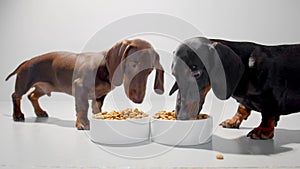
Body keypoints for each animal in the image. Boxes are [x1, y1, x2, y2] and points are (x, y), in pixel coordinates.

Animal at [5, 39, 164, 130]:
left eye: (150, 71)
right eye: (133, 64)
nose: (138, 100)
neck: (104, 68)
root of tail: (26, 62)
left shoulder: (100, 95)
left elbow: (96, 107)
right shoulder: (79, 87)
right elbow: (83, 107)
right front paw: (83, 124)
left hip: (44, 87)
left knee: (32, 96)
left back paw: (40, 112)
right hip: (24, 82)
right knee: (16, 96)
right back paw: (18, 115)